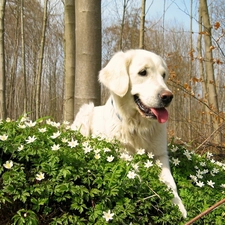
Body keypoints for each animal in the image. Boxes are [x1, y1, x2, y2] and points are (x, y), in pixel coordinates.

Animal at [71, 49, 186, 218]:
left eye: (163, 75)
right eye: (143, 72)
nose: (168, 97)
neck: (138, 126)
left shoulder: (160, 155)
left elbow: (170, 182)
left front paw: (179, 206)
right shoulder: (121, 151)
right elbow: (136, 172)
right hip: (86, 111)